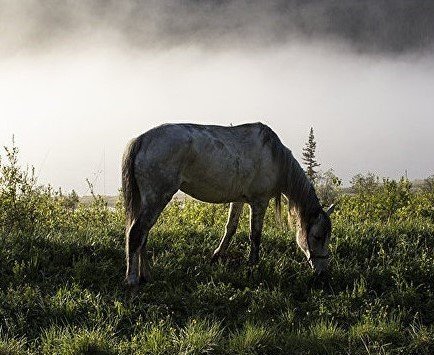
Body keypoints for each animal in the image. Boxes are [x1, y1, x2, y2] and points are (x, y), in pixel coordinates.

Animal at [122, 122, 336, 286]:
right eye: (317, 236)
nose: (323, 273)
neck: (274, 157)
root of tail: (142, 140)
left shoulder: (238, 200)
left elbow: (230, 228)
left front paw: (216, 256)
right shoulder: (259, 202)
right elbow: (255, 235)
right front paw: (252, 266)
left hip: (148, 201)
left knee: (143, 235)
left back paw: (146, 275)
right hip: (157, 198)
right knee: (136, 233)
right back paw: (132, 280)